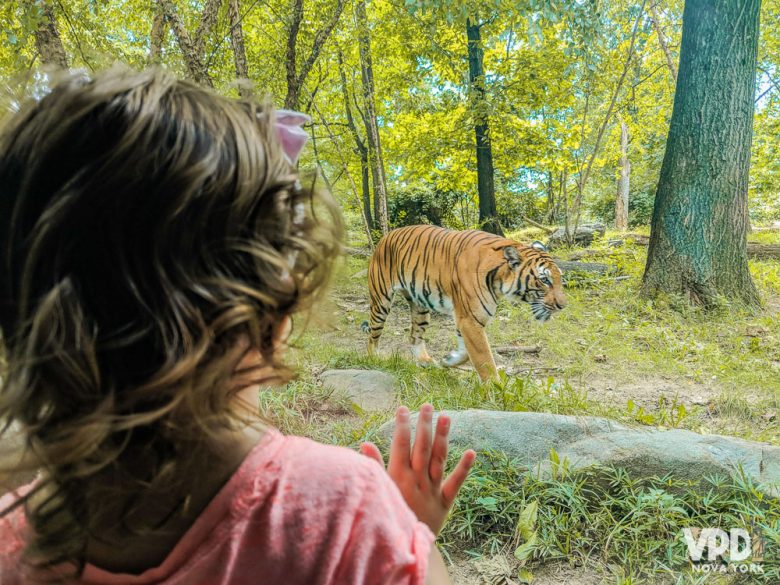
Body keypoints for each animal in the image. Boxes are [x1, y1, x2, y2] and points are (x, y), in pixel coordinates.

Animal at [360, 225, 568, 384]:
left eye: (559, 278)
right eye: (545, 280)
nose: (563, 305)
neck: (499, 280)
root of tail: (386, 236)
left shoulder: (467, 319)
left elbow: (467, 352)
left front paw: (448, 360)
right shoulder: (470, 319)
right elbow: (484, 358)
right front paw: (496, 391)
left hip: (420, 307)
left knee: (414, 336)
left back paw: (426, 361)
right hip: (381, 300)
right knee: (372, 335)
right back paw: (374, 358)